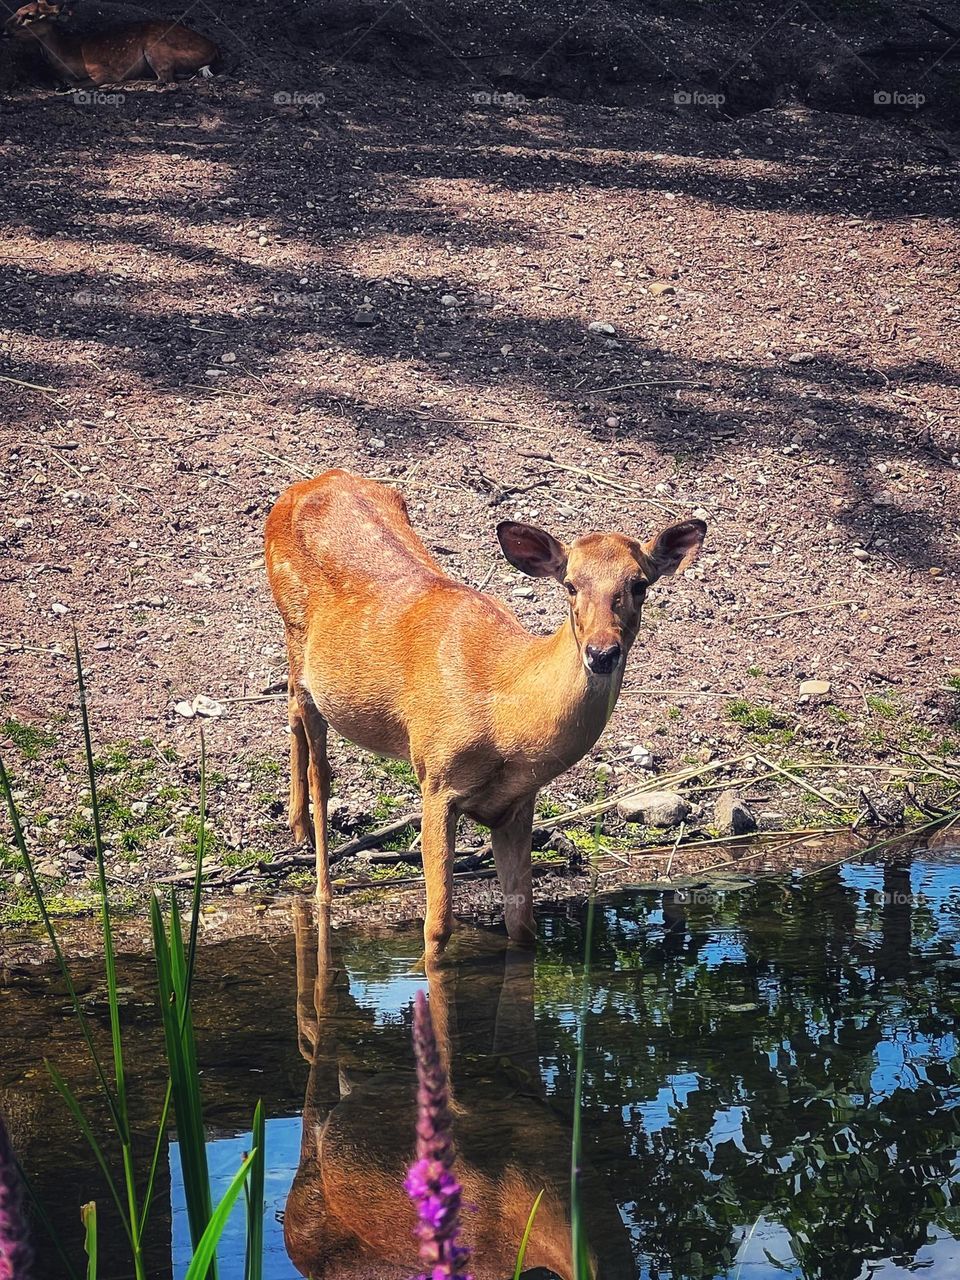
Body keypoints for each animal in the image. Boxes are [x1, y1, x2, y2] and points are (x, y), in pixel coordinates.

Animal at [2, 0, 218, 85]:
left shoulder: (103, 70)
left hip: (156, 48)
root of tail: (215, 49)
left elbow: (80, 84)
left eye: (30, 16)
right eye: (18, 8)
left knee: (164, 78)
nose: (4, 30)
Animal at [265, 469, 706, 959]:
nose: (602, 652)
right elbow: (437, 927)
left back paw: (297, 827)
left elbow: (523, 926)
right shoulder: (435, 778)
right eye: (570, 584)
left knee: (292, 710)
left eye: (640, 584)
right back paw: (318, 876)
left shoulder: (517, 804)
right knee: (318, 761)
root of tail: (306, 485)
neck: (504, 719)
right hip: (297, 637)